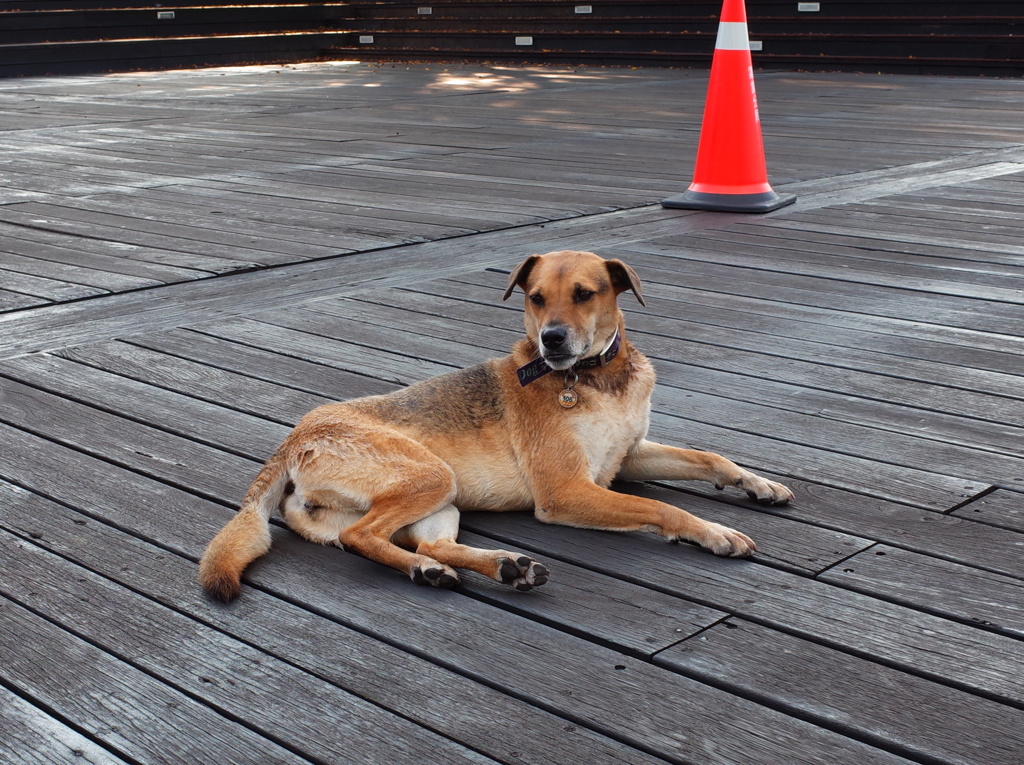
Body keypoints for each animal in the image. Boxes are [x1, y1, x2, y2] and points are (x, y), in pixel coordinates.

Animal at [197, 248, 790, 602]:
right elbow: (664, 509)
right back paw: (462, 570)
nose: (552, 339)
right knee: (359, 534)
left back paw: (492, 567)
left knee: (422, 546)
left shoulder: (627, 456)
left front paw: (758, 484)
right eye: (535, 298)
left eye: (585, 294)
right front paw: (714, 532)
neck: (595, 378)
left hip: (441, 501)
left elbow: (709, 458)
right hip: (431, 475)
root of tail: (293, 439)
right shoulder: (567, 490)